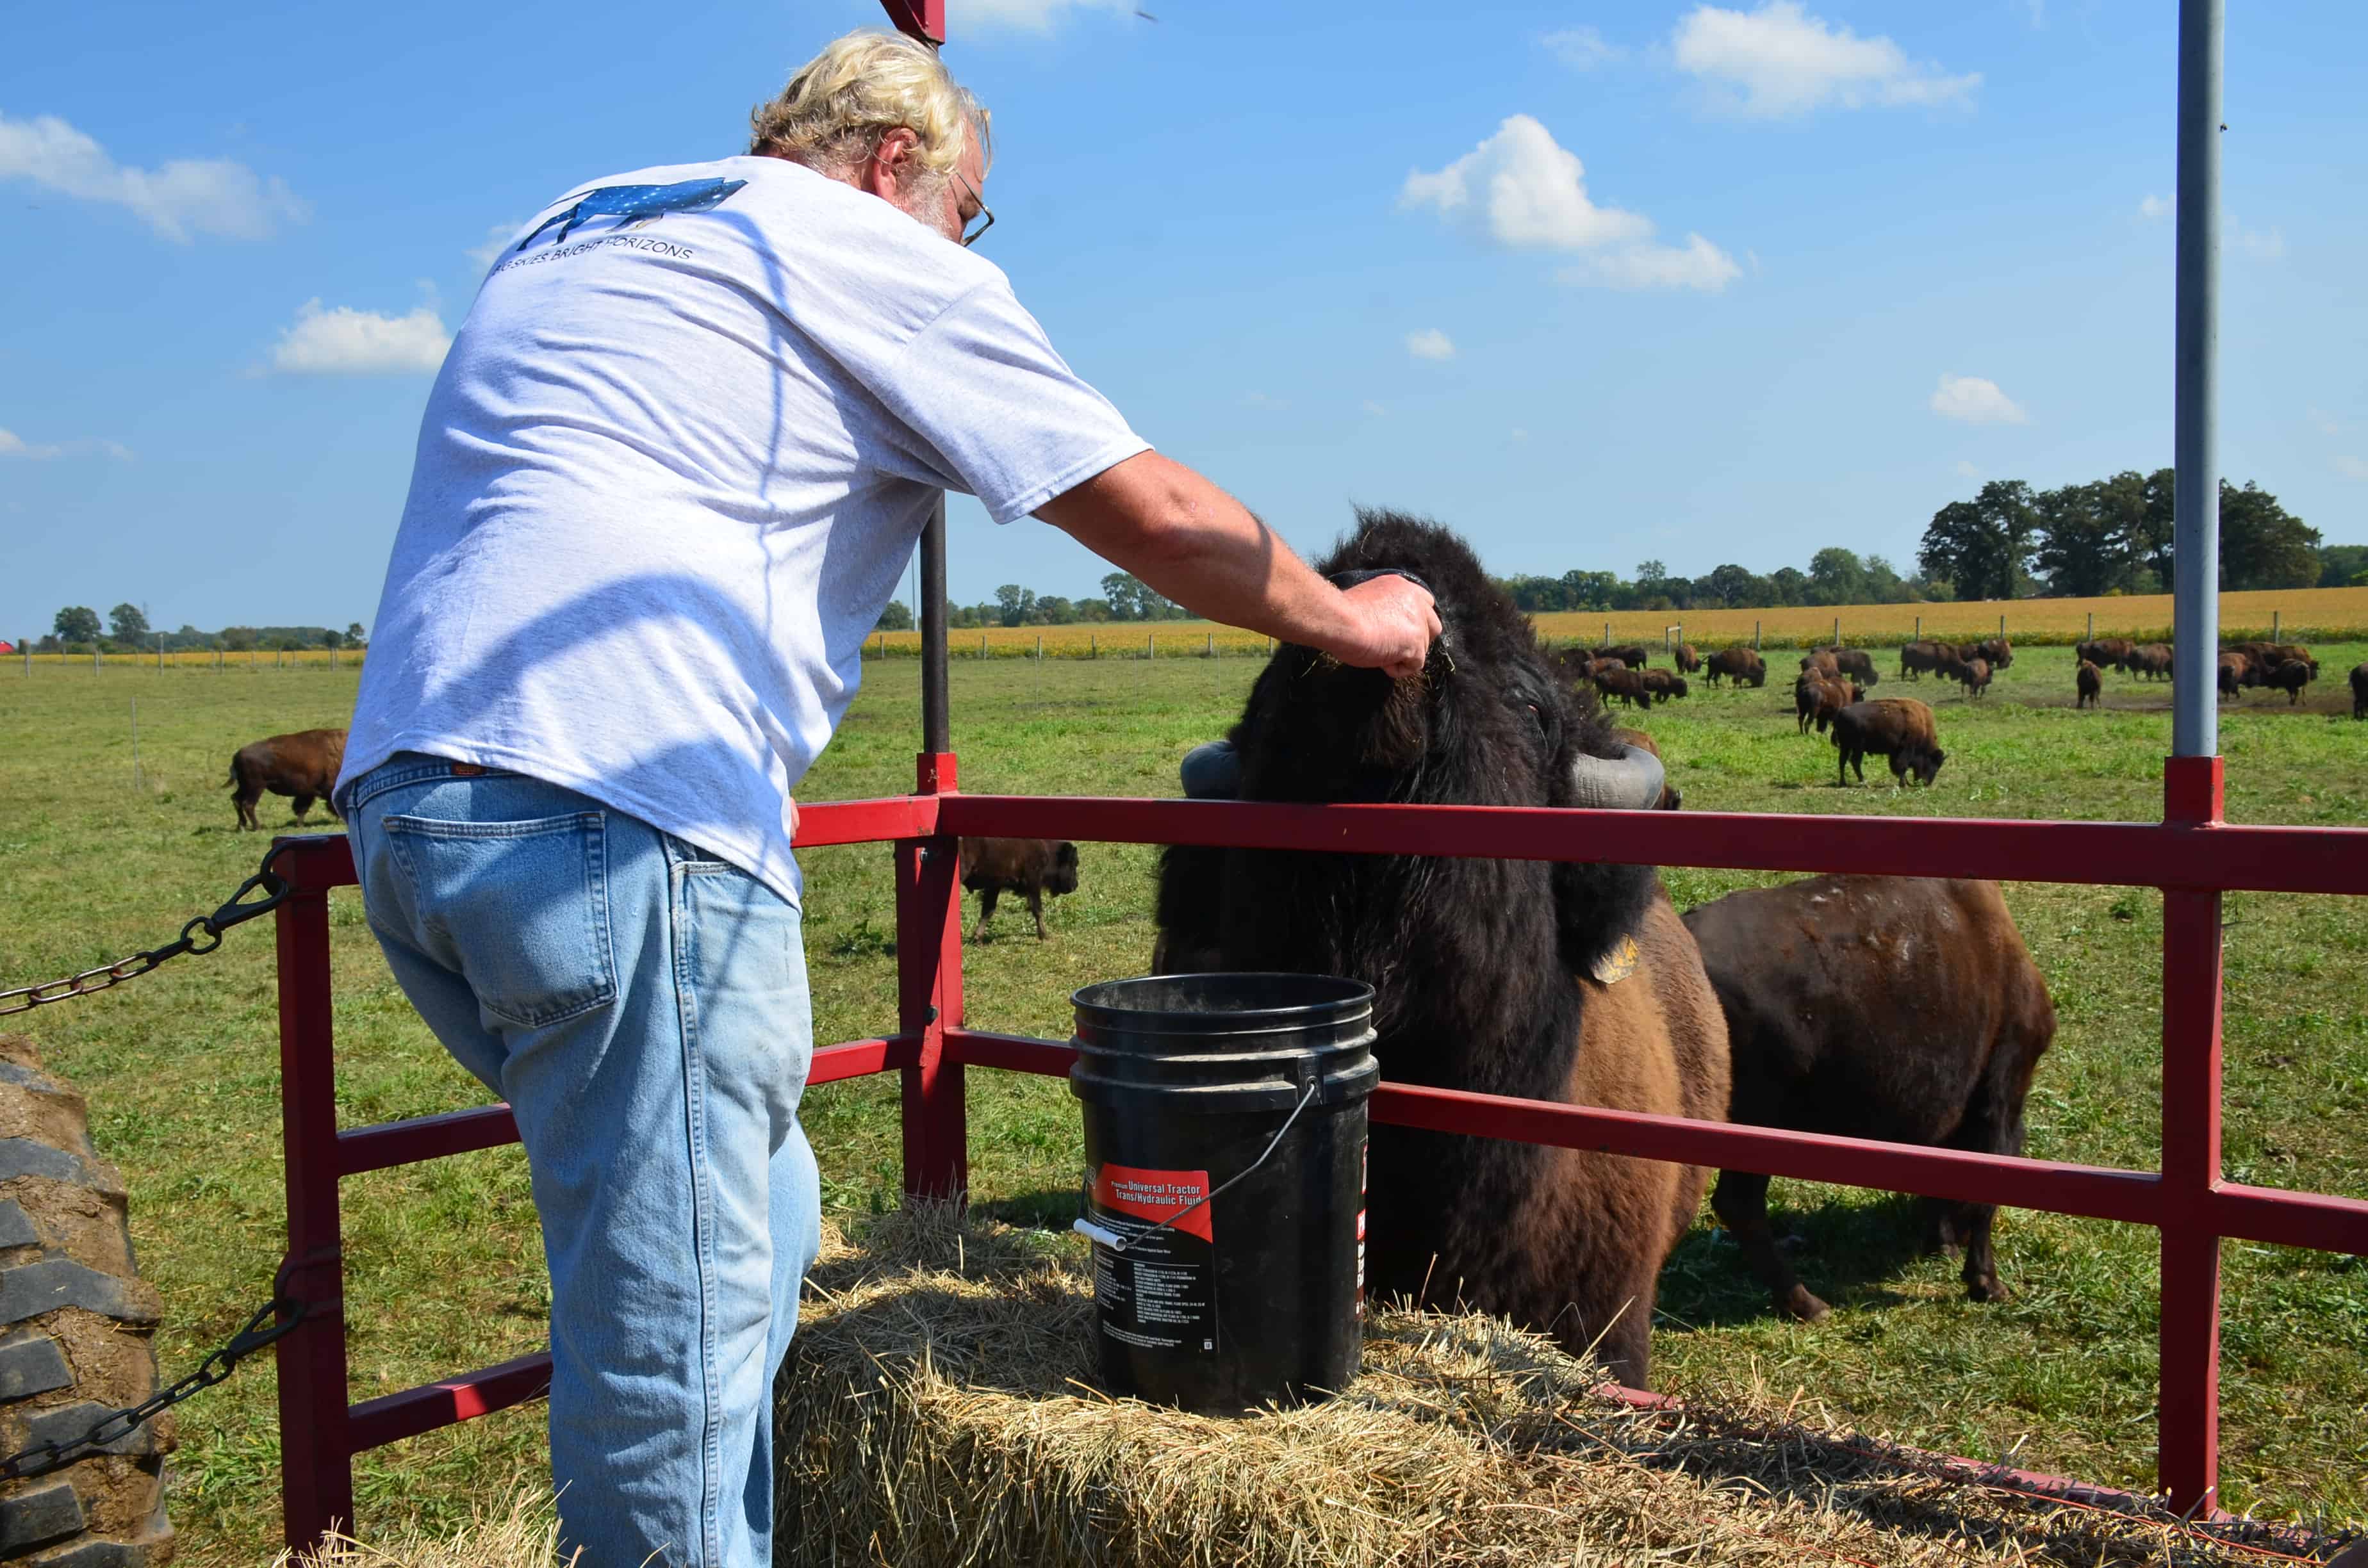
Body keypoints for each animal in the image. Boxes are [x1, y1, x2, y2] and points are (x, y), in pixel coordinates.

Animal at [226, 734, 345, 833]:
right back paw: (257, 827)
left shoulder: (307, 793)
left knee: (236, 799)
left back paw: (241, 827)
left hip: (245, 787)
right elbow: (302, 808)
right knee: (248, 805)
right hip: (256, 788)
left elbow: (302, 808)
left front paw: (299, 825)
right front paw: (300, 825)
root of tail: (236, 757)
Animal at [957, 843, 1080, 938]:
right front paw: (1044, 936)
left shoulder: (994, 886)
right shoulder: (1033, 882)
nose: (1075, 885)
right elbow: (1037, 909)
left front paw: (977, 938)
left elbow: (988, 910)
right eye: (1073, 864)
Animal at [1686, 876, 2055, 1317]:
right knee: (1740, 1204)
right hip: (1758, 1122)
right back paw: (1809, 1305)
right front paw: (1987, 1284)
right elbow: (1985, 1197)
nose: (1952, 1241)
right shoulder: (2002, 1097)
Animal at [1828, 701, 1941, 791]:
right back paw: (1865, 784)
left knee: (1842, 761)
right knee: (1855, 762)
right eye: (1935, 766)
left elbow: (1898, 766)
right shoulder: (1907, 749)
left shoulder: (1896, 752)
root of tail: (1840, 714)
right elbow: (1903, 766)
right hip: (1858, 748)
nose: (1927, 783)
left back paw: (1843, 783)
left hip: (1846, 746)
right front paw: (1903, 784)